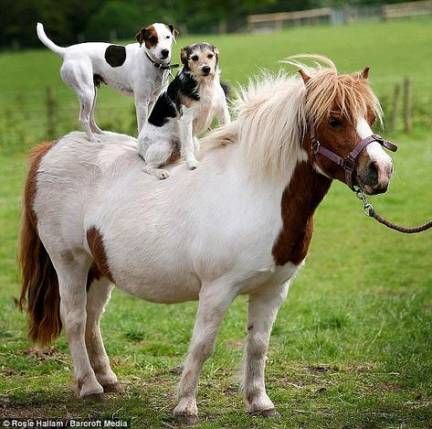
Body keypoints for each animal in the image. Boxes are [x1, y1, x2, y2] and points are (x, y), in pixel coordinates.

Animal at [18, 56, 394, 422]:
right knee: (74, 318)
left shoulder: (272, 290)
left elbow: (259, 345)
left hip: (99, 268)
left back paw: (108, 380)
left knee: (93, 319)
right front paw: (185, 406)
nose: (380, 170)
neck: (255, 190)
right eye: (335, 120)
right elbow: (202, 345)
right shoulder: (217, 290)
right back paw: (89, 386)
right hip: (69, 261)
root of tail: (51, 149)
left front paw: (259, 401)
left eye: (369, 116)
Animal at [36, 22, 178, 140]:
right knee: (83, 118)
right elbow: (142, 125)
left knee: (90, 118)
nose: (165, 52)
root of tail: (66, 51)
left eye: (167, 37)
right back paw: (92, 139)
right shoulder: (141, 102)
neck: (151, 62)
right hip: (87, 94)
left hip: (91, 94)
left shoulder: (153, 100)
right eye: (152, 39)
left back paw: (101, 134)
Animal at [139, 42, 231, 178]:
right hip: (165, 145)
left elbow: (226, 127)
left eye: (210, 55)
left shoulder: (222, 110)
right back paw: (161, 173)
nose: (206, 68)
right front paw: (192, 163)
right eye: (194, 58)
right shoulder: (186, 119)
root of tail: (138, 149)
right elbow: (188, 144)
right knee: (147, 167)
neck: (204, 84)